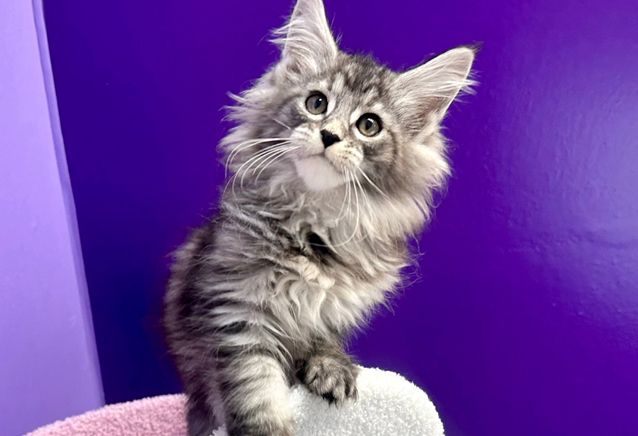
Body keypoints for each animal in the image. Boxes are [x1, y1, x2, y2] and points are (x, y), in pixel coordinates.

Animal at [163, 0, 475, 435]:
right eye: (316, 103)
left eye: (369, 125)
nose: (329, 136)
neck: (315, 224)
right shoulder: (238, 314)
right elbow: (256, 394)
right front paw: (268, 429)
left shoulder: (331, 313)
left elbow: (324, 343)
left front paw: (332, 370)